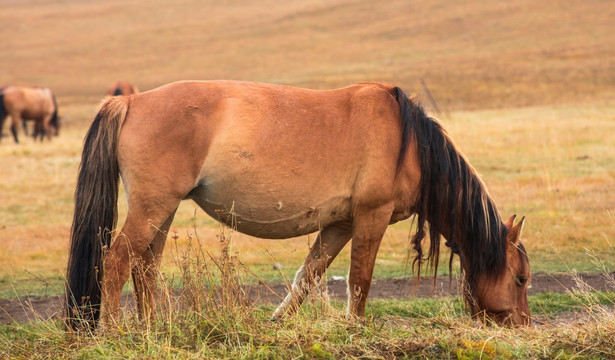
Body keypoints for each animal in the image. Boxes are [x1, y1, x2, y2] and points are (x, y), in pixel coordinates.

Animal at [65, 81, 532, 332]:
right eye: (522, 278)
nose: (524, 324)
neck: (410, 143)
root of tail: (131, 101)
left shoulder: (340, 225)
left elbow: (307, 277)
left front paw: (277, 323)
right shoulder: (371, 218)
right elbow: (360, 280)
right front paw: (353, 328)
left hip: (163, 211)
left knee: (145, 267)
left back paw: (153, 328)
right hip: (152, 208)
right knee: (117, 261)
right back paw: (113, 331)